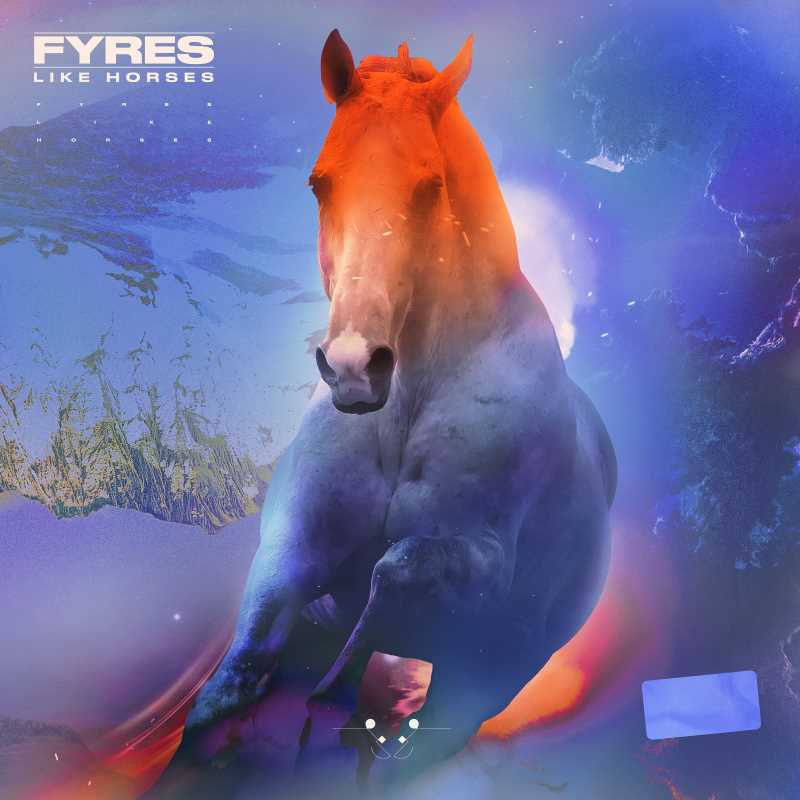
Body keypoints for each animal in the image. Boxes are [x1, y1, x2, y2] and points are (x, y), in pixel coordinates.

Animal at [153, 29, 616, 794]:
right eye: (320, 183)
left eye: (430, 186)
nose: (352, 365)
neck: (405, 411)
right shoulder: (292, 546)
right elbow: (227, 688)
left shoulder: (483, 559)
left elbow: (395, 567)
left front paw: (341, 683)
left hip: (487, 678)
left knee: (427, 733)